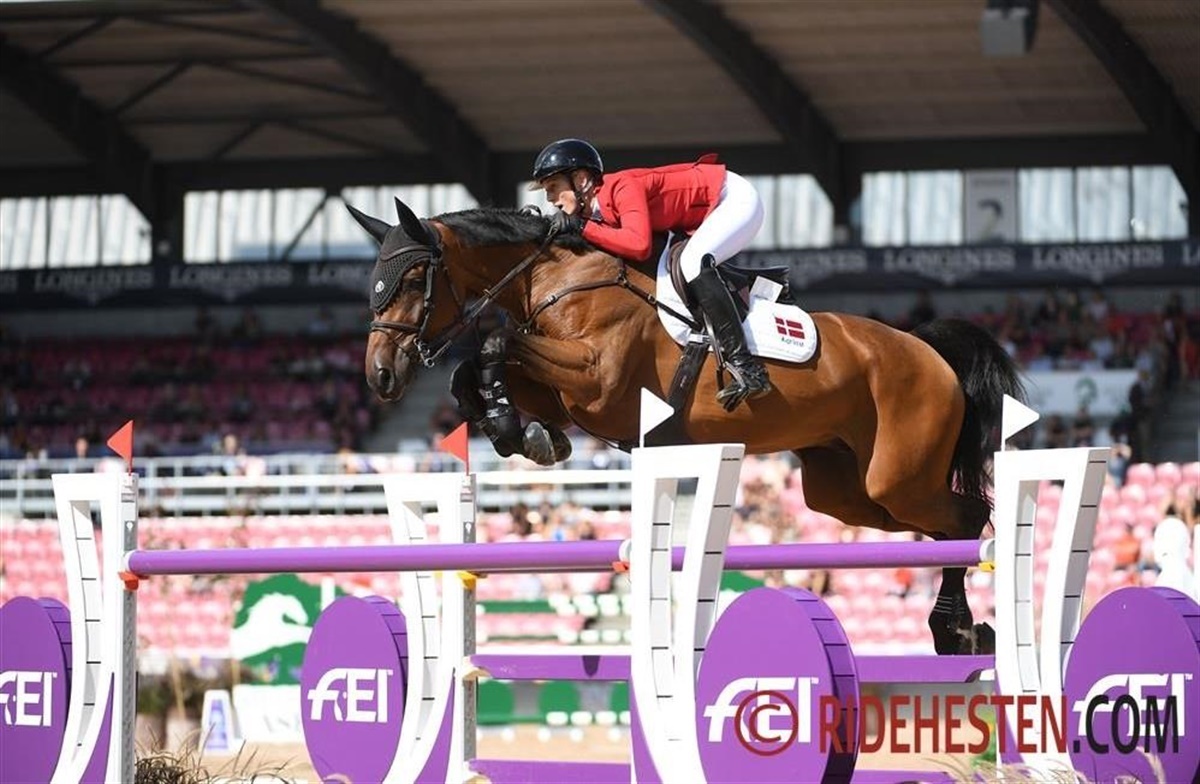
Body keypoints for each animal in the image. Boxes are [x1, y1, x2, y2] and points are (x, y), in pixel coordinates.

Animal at [350, 198, 1026, 655]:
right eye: (372, 285)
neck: (555, 280)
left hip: (898, 475)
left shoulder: (595, 378)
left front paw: (522, 430)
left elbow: (494, 341)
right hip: (847, 493)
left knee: (968, 519)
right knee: (945, 527)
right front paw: (524, 433)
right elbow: (477, 371)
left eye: (413, 279)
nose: (380, 376)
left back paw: (954, 629)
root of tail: (926, 348)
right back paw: (967, 629)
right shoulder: (565, 390)